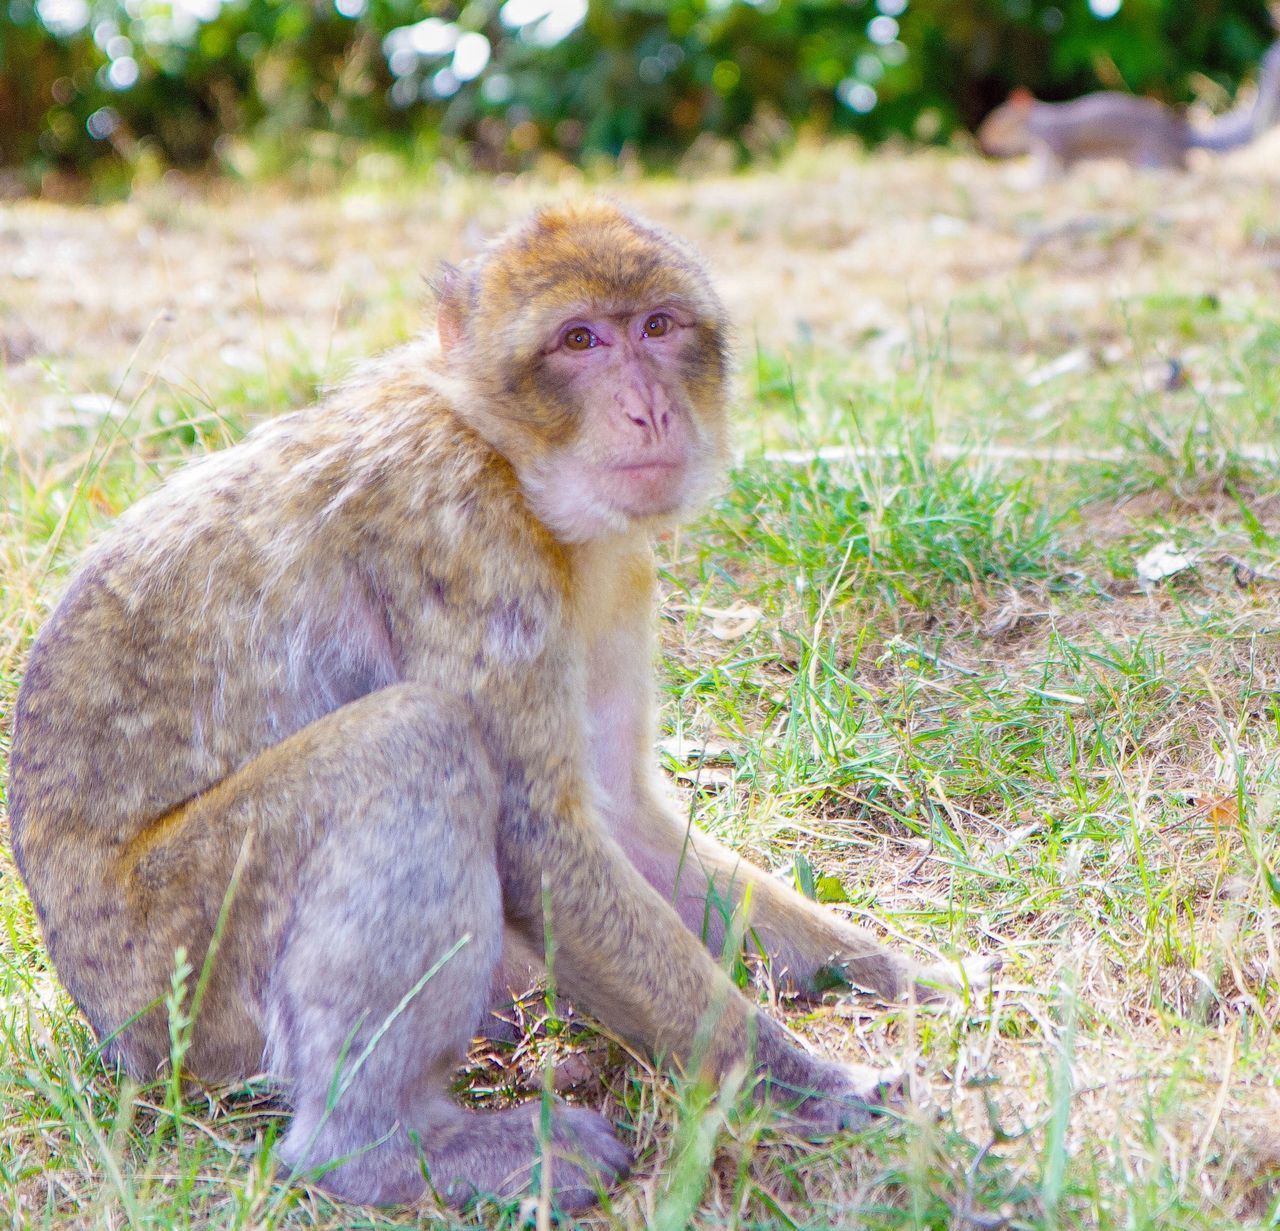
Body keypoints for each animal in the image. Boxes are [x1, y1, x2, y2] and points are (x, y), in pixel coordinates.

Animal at [5, 202, 993, 1207]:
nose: (649, 407)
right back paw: (385, 1148)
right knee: (417, 739)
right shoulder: (465, 533)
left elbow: (621, 817)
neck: (508, 457)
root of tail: (106, 1025)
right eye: (579, 340)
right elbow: (537, 837)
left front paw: (904, 973)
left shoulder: (617, 571)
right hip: (182, 980)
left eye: (658, 327)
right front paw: (807, 1080)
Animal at [977, 39, 1280, 175]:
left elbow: (1049, 174)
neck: (1038, 120)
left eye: (998, 121)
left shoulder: (1055, 145)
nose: (983, 141)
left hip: (1151, 156)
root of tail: (1182, 136)